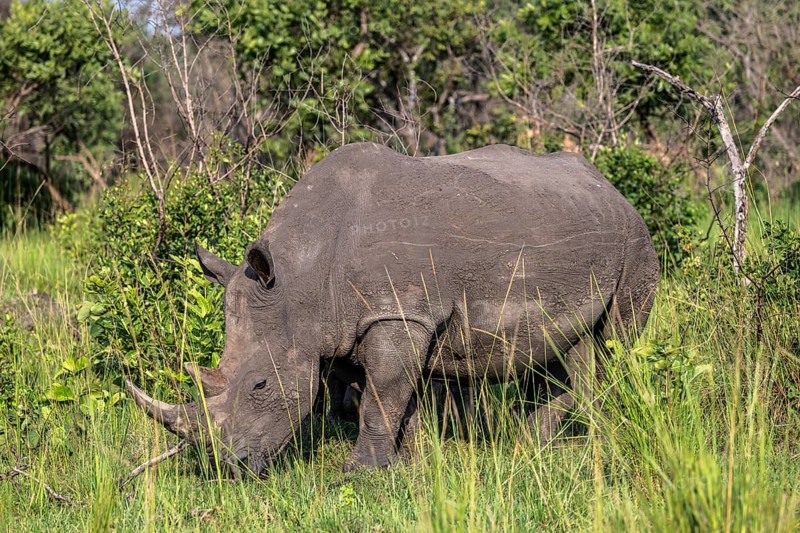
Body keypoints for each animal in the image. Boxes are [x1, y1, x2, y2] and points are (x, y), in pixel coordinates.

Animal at [127, 143, 659, 475]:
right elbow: (389, 395)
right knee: (570, 349)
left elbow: (382, 394)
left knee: (614, 344)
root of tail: (613, 189)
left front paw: (359, 472)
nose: (226, 468)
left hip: (635, 240)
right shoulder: (355, 323)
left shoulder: (398, 311)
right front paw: (411, 460)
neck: (302, 280)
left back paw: (571, 437)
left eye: (260, 384)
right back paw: (539, 441)